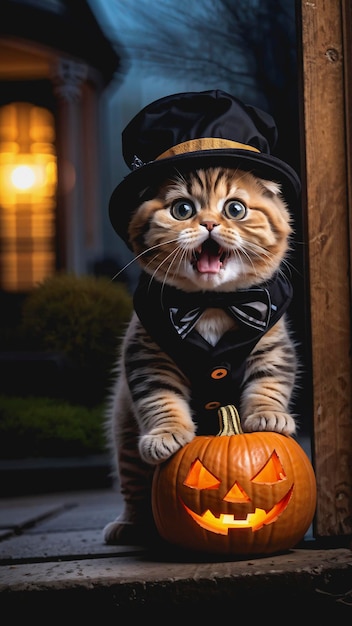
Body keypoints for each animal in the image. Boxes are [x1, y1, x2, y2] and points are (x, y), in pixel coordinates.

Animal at [103, 168, 298, 544]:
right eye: (183, 209)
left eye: (235, 209)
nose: (208, 223)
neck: (212, 303)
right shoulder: (147, 356)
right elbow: (161, 400)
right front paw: (167, 433)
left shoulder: (272, 347)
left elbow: (268, 386)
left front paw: (269, 415)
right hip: (124, 431)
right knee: (133, 490)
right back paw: (129, 525)